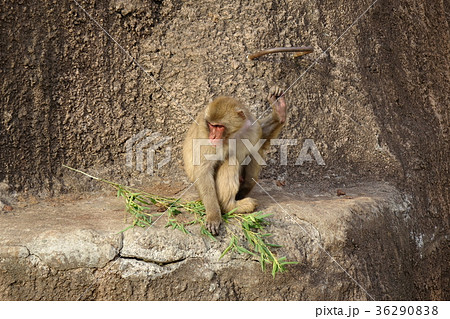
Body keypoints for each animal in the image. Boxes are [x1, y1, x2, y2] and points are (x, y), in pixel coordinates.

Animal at [184, 86, 286, 236]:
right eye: (211, 125)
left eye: (219, 126)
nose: (213, 136)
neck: (231, 134)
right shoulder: (205, 136)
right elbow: (203, 171)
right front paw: (213, 215)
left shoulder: (253, 127)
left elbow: (260, 140)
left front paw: (279, 111)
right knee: (231, 160)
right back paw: (230, 206)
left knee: (255, 151)